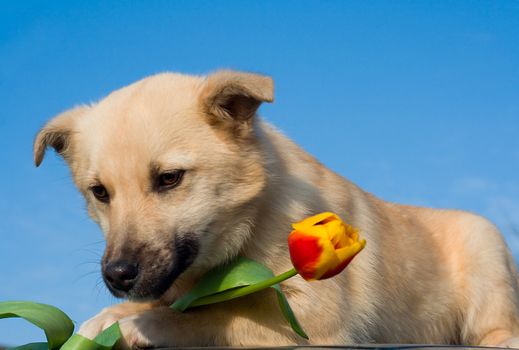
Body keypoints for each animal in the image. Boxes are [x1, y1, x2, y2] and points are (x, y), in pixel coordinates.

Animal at [33, 69, 519, 348]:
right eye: (100, 193)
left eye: (169, 178)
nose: (117, 276)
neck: (251, 222)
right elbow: (172, 306)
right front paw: (104, 321)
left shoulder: (312, 323)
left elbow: (223, 315)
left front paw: (142, 324)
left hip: (484, 243)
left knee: (501, 329)